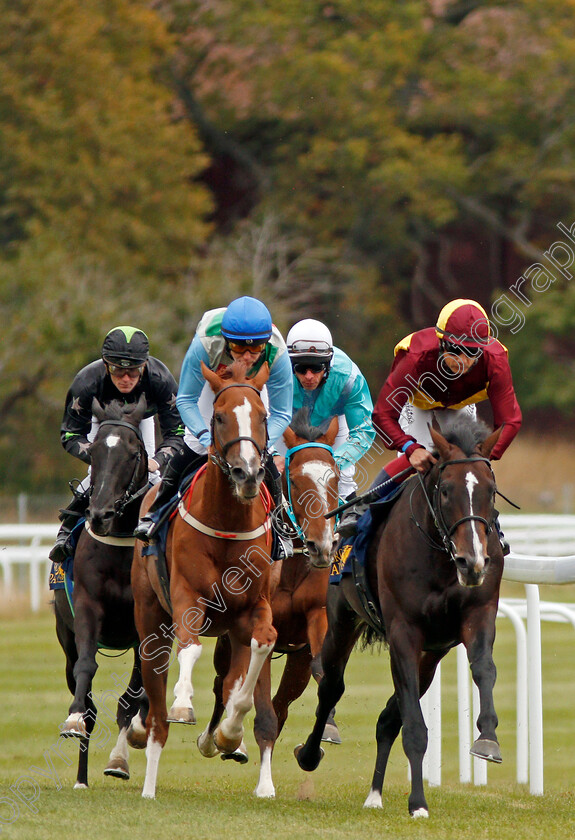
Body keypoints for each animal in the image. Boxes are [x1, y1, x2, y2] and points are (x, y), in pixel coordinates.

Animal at [133, 360, 282, 800]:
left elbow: (262, 646)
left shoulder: (255, 607)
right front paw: (184, 702)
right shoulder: (188, 597)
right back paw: (148, 784)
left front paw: (228, 732)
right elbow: (191, 647)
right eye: (218, 417)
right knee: (156, 714)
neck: (228, 523)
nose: (247, 473)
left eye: (262, 416)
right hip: (149, 615)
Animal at [198, 410, 342, 796]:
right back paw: (215, 739)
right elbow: (259, 708)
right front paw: (264, 784)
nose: (322, 546)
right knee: (222, 682)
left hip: (297, 658)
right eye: (295, 479)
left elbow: (321, 676)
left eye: (335, 477)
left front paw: (312, 749)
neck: (291, 564)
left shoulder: (316, 619)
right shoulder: (258, 625)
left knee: (281, 702)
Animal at [296, 420, 504, 820]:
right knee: (331, 685)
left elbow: (484, 668)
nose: (473, 562)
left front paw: (487, 738)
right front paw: (418, 802)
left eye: (490, 490)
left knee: (387, 717)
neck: (441, 557)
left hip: (431, 656)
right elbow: (415, 728)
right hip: (342, 620)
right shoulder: (403, 632)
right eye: (446, 490)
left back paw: (375, 794)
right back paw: (311, 752)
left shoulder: (478, 613)